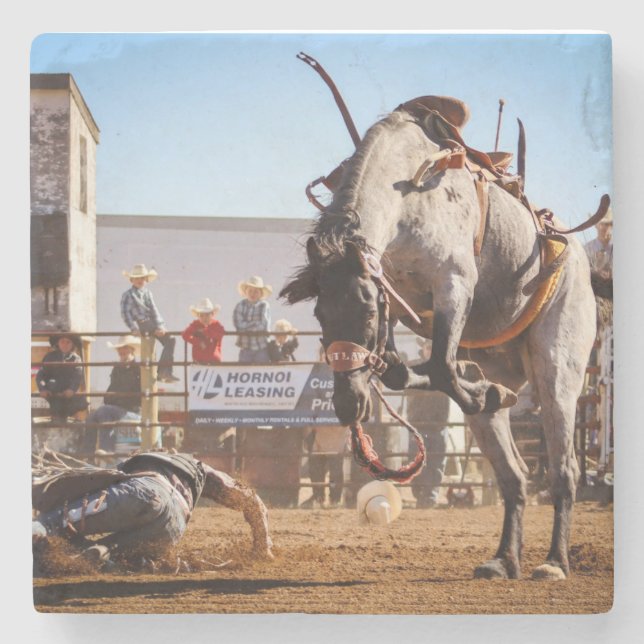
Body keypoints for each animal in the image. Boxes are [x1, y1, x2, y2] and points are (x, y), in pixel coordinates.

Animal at [280, 98, 607, 581]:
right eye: (320, 315)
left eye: (368, 312)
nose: (347, 404)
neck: (408, 190)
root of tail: (582, 262)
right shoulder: (398, 300)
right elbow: (404, 372)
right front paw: (480, 388)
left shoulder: (454, 282)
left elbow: (440, 367)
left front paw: (478, 389)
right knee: (513, 475)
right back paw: (504, 558)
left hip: (558, 368)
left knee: (564, 469)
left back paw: (553, 562)